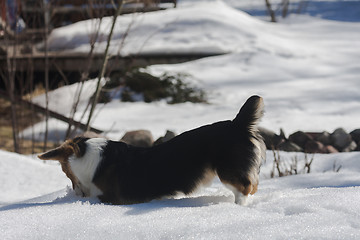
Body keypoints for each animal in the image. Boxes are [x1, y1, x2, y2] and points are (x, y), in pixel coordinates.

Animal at [38, 95, 264, 204]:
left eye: (64, 171)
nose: (76, 195)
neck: (86, 153)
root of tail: (237, 124)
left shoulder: (112, 197)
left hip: (228, 170)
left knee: (245, 188)